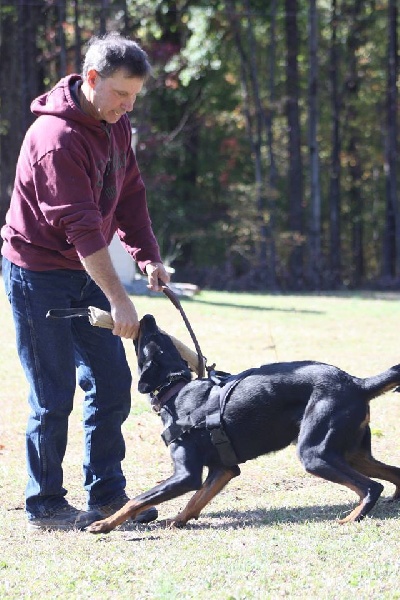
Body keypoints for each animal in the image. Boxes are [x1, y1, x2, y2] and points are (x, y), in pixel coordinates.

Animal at [87, 314, 400, 536]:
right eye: (161, 336)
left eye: (151, 338)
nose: (148, 316)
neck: (174, 390)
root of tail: (358, 383)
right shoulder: (223, 469)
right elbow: (195, 501)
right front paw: (177, 521)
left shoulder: (186, 475)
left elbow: (138, 500)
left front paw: (104, 525)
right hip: (351, 452)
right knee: (393, 473)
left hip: (316, 453)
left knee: (370, 487)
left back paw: (351, 518)